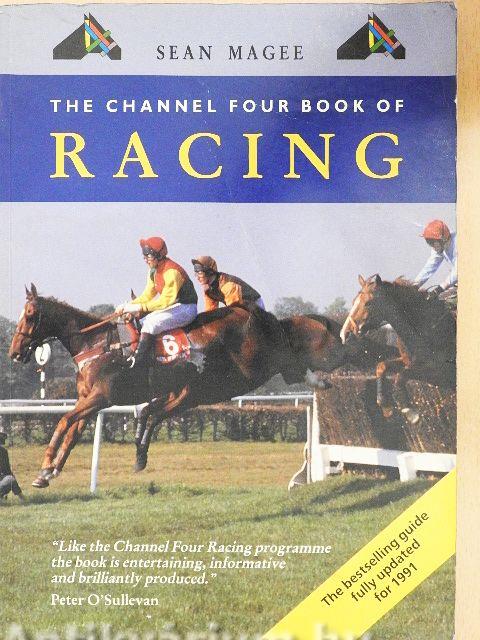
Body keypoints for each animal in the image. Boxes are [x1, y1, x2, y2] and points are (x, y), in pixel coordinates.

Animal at [9, 284, 395, 487]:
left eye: (30, 315)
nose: (14, 351)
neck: (97, 344)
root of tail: (269, 319)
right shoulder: (93, 401)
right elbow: (71, 429)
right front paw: (49, 471)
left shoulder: (101, 397)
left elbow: (63, 420)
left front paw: (45, 465)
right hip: (205, 387)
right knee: (155, 413)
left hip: (253, 368)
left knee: (326, 357)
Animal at [340, 275, 456, 423]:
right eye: (354, 301)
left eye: (368, 303)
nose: (345, 334)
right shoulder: (409, 362)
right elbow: (382, 366)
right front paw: (385, 405)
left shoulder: (441, 372)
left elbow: (401, 376)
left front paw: (410, 412)